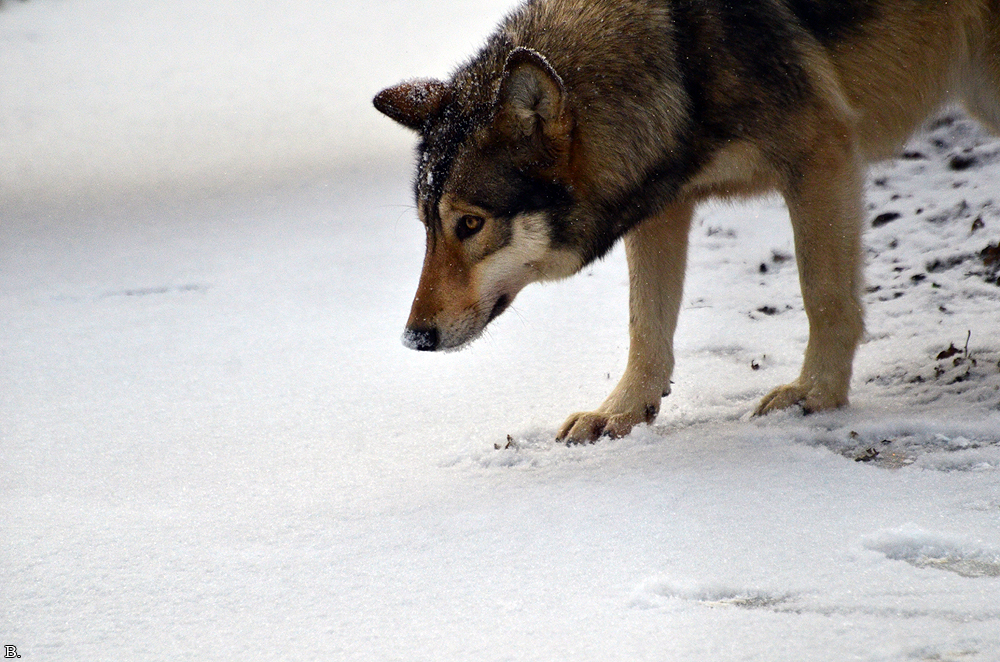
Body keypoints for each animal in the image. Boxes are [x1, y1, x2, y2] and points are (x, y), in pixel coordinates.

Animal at [374, 0, 999, 443]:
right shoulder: (661, 209)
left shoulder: (822, 159)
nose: (414, 337)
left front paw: (815, 396)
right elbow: (645, 325)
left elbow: (823, 296)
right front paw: (620, 413)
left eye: (470, 225)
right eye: (429, 226)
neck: (678, 60)